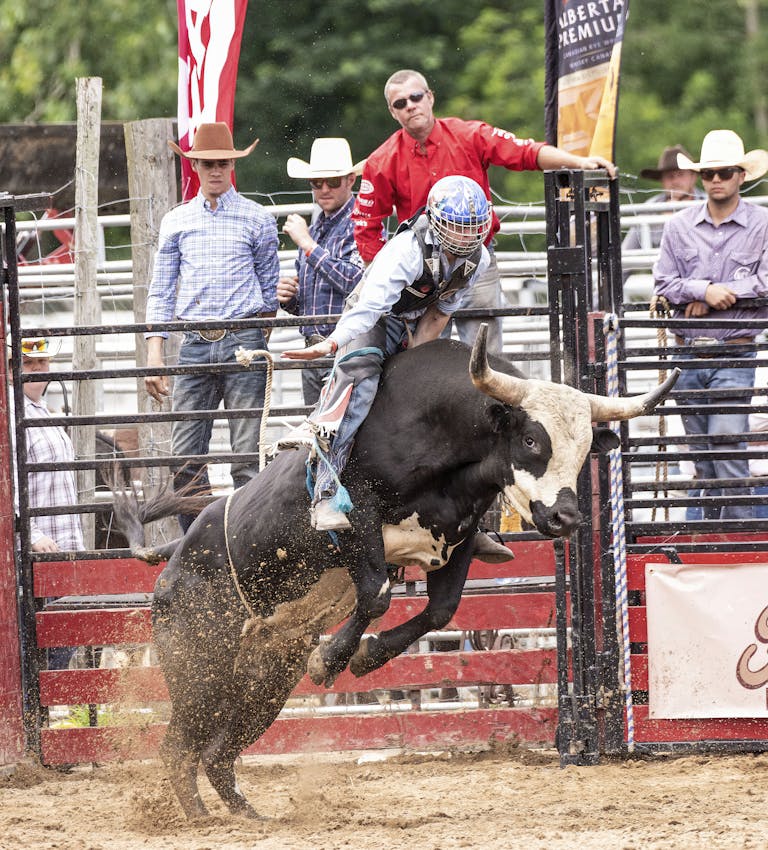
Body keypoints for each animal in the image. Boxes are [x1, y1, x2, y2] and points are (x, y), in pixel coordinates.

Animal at [114, 325, 678, 819]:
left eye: (583, 449)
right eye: (533, 442)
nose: (565, 518)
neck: (446, 436)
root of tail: (173, 560)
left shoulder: (458, 536)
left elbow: (440, 610)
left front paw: (365, 656)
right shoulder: (357, 513)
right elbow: (377, 594)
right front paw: (333, 658)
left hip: (264, 680)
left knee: (216, 752)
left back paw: (248, 815)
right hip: (197, 665)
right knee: (177, 747)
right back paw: (197, 816)